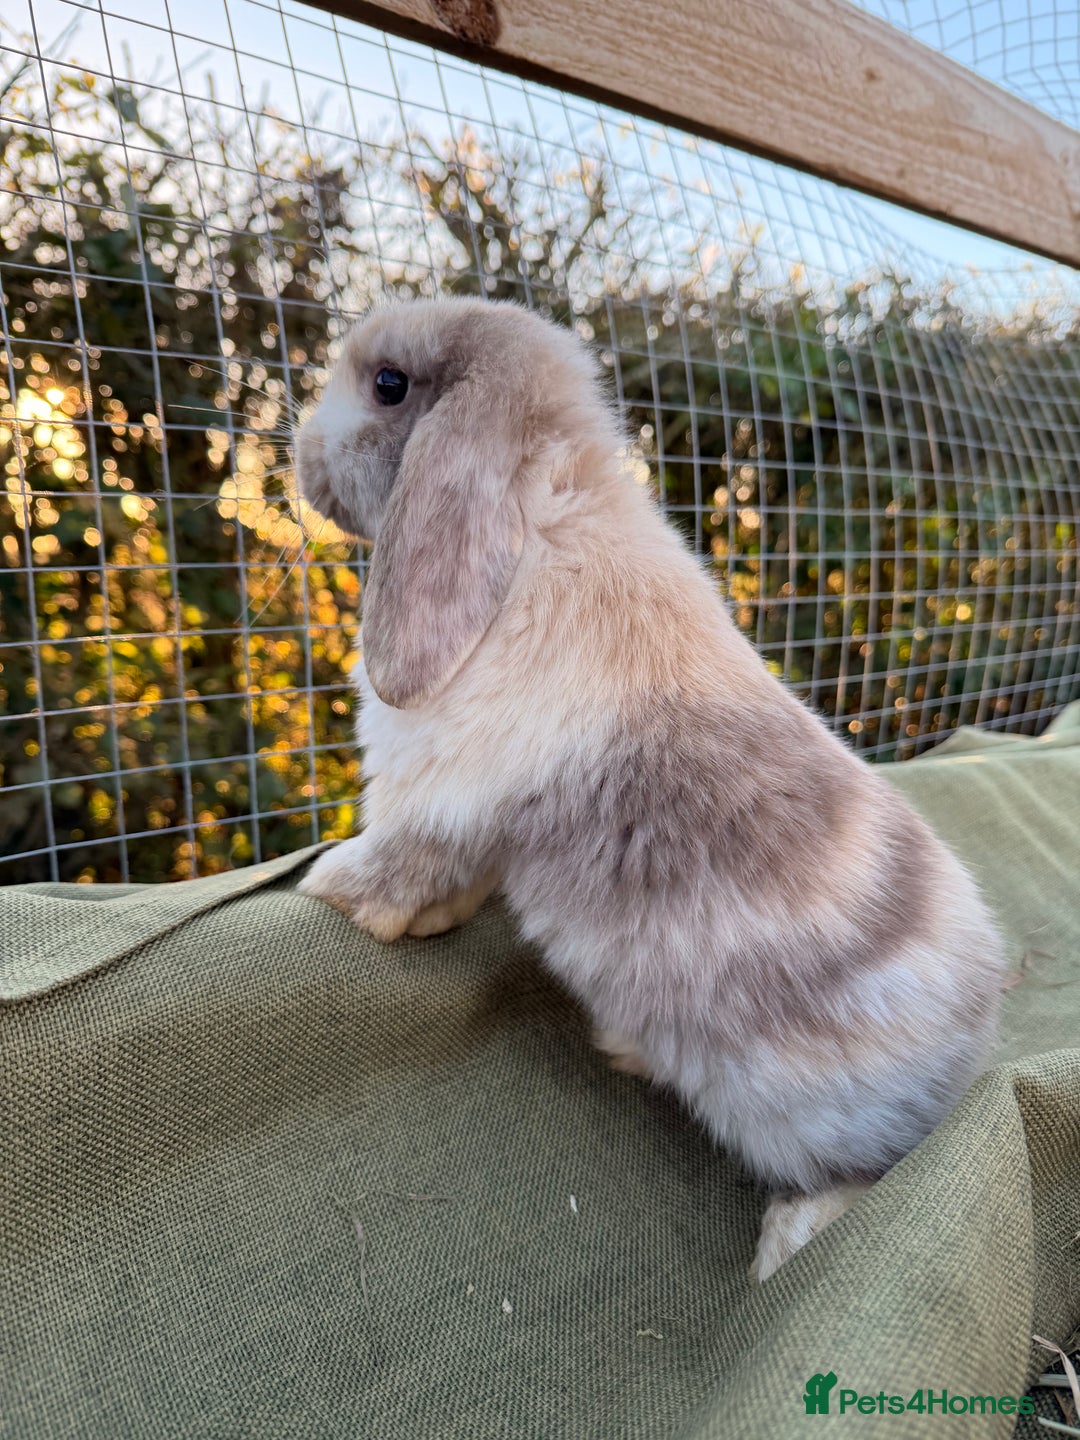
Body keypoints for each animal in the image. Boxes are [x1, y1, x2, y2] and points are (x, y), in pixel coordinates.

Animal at [294, 296, 1006, 1281]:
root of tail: (973, 1039)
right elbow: (454, 882)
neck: (534, 527)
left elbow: (398, 864)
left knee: (856, 1176)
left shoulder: (437, 803)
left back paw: (785, 1248)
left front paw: (327, 887)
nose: (296, 447)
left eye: (389, 385)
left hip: (801, 1115)